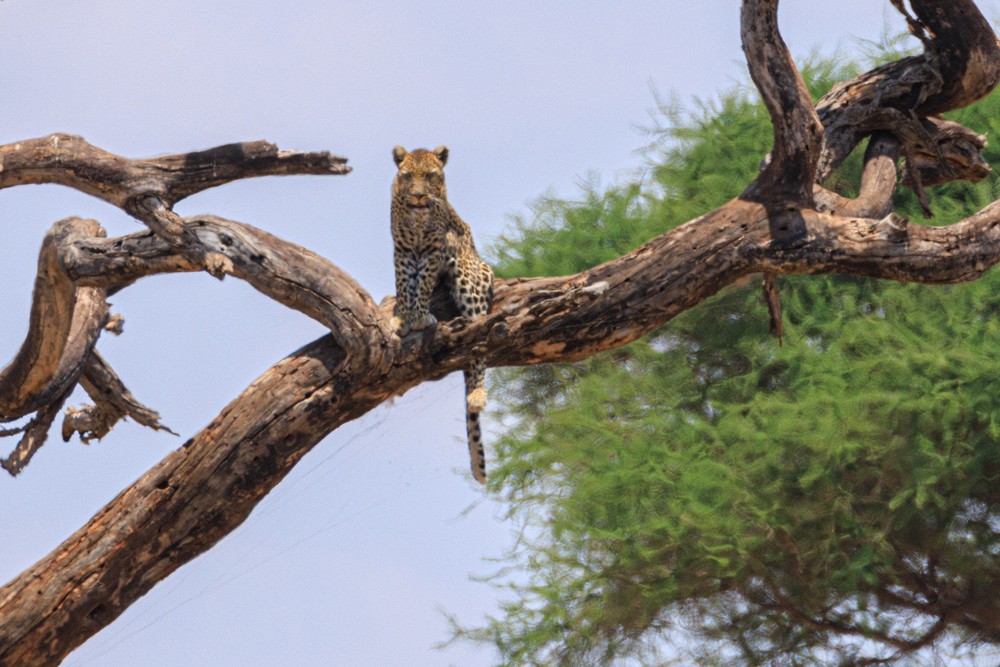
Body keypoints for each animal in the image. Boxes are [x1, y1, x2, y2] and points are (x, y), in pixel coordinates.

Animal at [390, 145, 495, 484]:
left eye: (430, 176)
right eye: (409, 176)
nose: (420, 195)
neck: (418, 214)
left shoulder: (433, 249)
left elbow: (421, 284)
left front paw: (418, 316)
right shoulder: (402, 250)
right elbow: (403, 283)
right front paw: (403, 315)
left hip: (469, 281)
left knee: (481, 340)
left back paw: (477, 394)